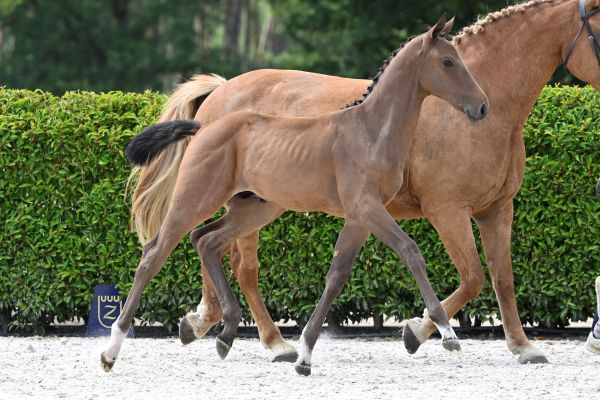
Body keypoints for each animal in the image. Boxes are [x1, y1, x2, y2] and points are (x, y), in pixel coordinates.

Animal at [104, 18, 488, 376]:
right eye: (448, 61)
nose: (482, 107)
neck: (371, 131)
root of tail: (203, 126)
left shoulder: (359, 216)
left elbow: (336, 275)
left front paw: (304, 355)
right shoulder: (368, 207)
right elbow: (411, 252)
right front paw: (446, 333)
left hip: (253, 209)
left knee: (207, 241)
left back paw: (227, 335)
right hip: (195, 199)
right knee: (154, 253)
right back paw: (111, 350)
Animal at [131, 0, 600, 364]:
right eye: (598, 29)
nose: (479, 107)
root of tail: (219, 93)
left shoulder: (496, 210)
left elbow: (502, 278)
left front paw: (523, 347)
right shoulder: (447, 211)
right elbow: (472, 278)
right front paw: (419, 332)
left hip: (249, 203)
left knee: (209, 244)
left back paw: (207, 324)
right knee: (239, 264)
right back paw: (268, 340)